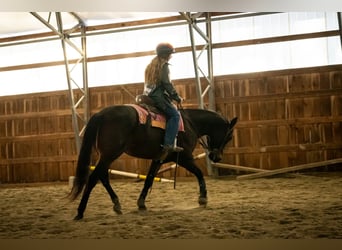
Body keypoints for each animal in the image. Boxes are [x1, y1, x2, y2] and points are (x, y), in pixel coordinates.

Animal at [68, 101, 236, 219]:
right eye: (229, 136)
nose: (216, 157)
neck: (189, 124)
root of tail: (101, 114)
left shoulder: (158, 160)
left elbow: (149, 179)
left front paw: (141, 203)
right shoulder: (184, 158)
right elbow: (199, 173)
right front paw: (203, 198)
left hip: (107, 155)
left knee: (102, 176)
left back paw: (116, 204)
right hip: (110, 154)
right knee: (93, 178)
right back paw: (80, 211)